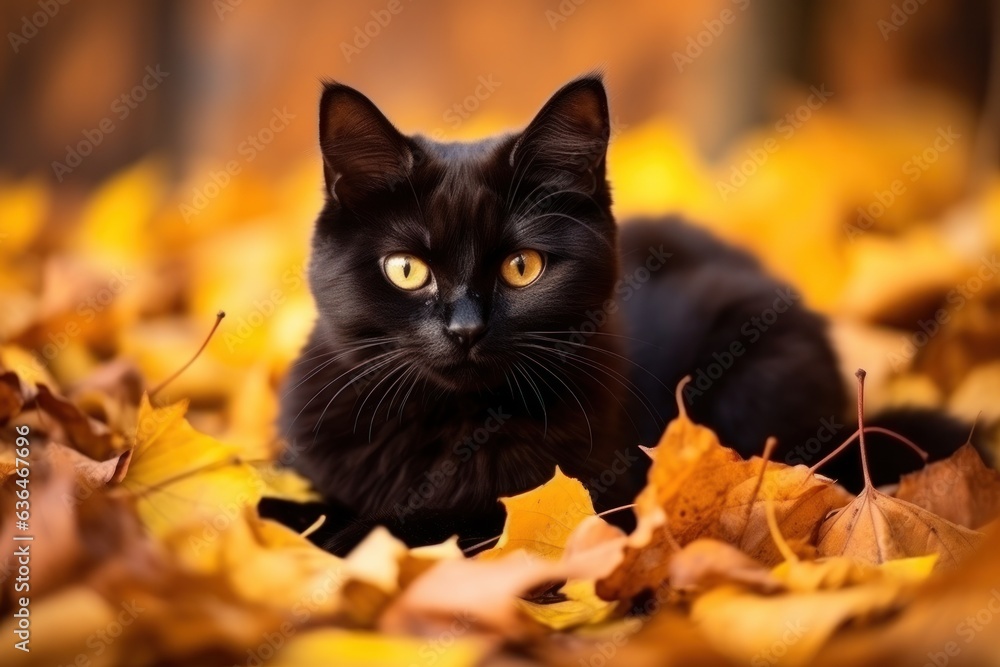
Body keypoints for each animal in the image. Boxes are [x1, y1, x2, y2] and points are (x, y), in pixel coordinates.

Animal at [272, 75, 976, 552]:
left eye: (522, 267)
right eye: (407, 270)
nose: (465, 329)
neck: (447, 425)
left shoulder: (582, 499)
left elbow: (432, 522)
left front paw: (346, 536)